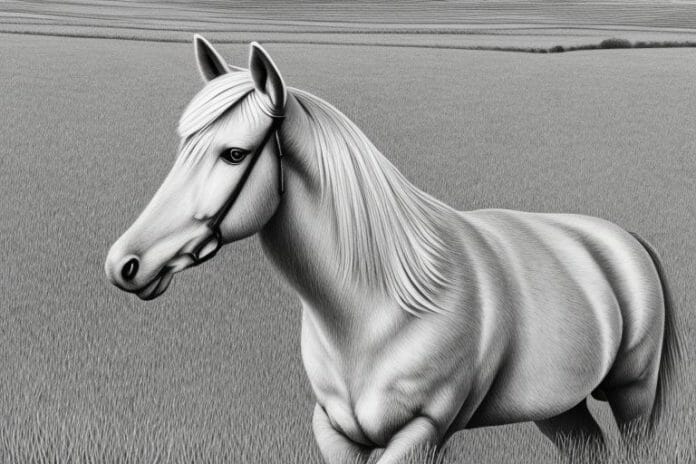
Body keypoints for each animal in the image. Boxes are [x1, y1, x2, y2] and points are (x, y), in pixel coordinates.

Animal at [105, 36, 681, 463]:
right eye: (184, 145)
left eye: (234, 154)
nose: (124, 264)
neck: (373, 311)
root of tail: (625, 239)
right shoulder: (336, 432)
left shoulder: (423, 431)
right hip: (559, 409)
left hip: (633, 394)